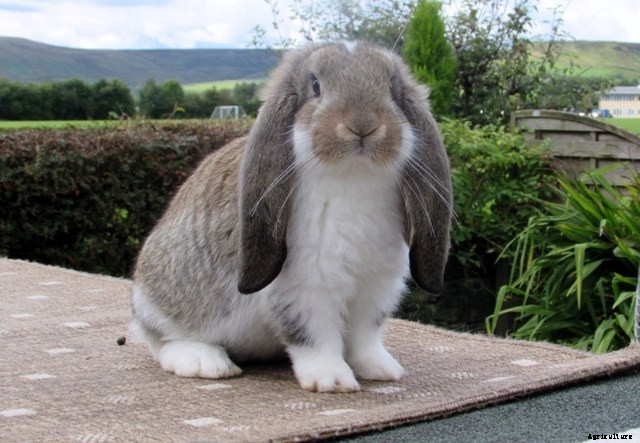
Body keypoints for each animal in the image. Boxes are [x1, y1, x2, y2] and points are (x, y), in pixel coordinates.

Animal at [131, 41, 453, 393]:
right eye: (315, 86)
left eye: (392, 86)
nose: (362, 125)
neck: (353, 178)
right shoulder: (306, 287)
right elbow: (315, 336)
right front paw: (332, 380)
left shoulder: (375, 287)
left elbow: (364, 336)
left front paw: (381, 369)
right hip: (162, 307)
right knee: (161, 341)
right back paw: (207, 363)